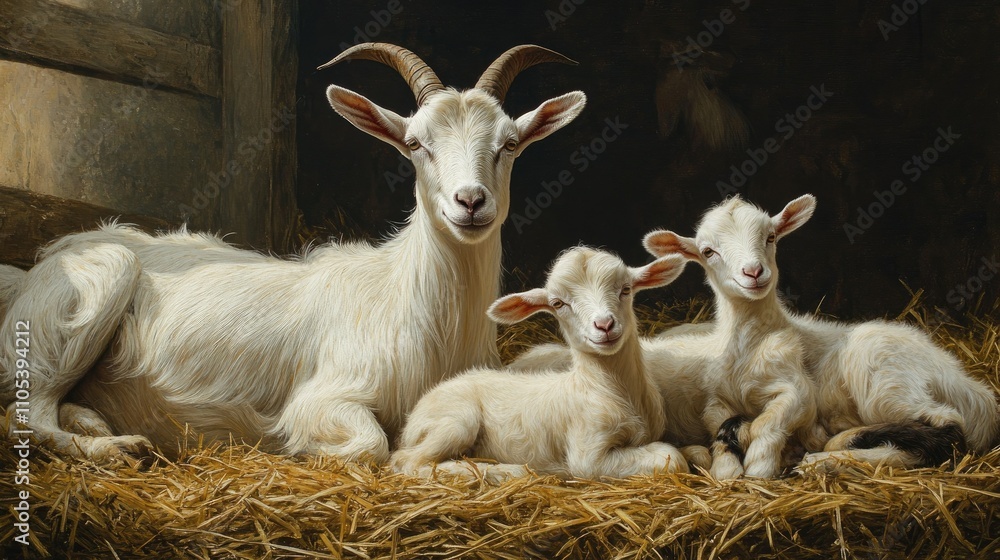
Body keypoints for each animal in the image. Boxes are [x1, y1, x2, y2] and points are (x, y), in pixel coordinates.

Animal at [0, 43, 586, 463]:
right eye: (416, 144)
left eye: (509, 144)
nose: (470, 202)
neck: (412, 308)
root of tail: (37, 269)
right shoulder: (325, 395)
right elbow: (371, 445)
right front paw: (292, 445)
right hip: (87, 300)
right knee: (27, 415)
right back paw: (116, 447)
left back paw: (97, 422)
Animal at [391, 247, 693, 481]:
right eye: (558, 303)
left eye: (626, 289)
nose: (605, 325)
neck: (603, 389)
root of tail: (414, 415)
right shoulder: (588, 455)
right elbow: (671, 457)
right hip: (455, 420)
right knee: (407, 462)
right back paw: (507, 473)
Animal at [645, 194, 1000, 474]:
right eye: (708, 251)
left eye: (770, 237)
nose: (754, 272)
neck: (752, 343)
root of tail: (969, 385)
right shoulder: (715, 399)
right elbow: (721, 423)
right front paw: (728, 464)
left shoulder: (800, 391)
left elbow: (768, 423)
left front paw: (760, 467)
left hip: (885, 380)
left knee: (947, 431)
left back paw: (827, 457)